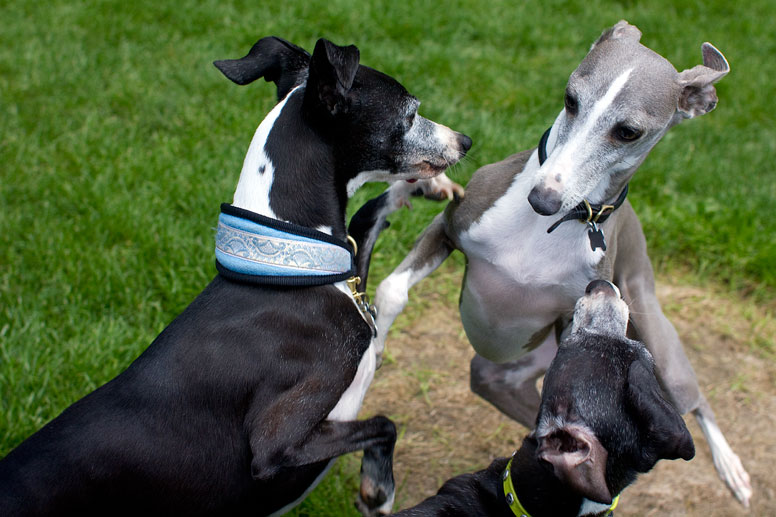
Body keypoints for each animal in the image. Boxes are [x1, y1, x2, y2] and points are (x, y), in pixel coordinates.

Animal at [0, 37, 466, 516]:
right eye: (410, 113)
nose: (465, 141)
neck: (286, 266)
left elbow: (367, 218)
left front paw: (419, 188)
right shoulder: (277, 443)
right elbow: (385, 423)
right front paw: (378, 489)